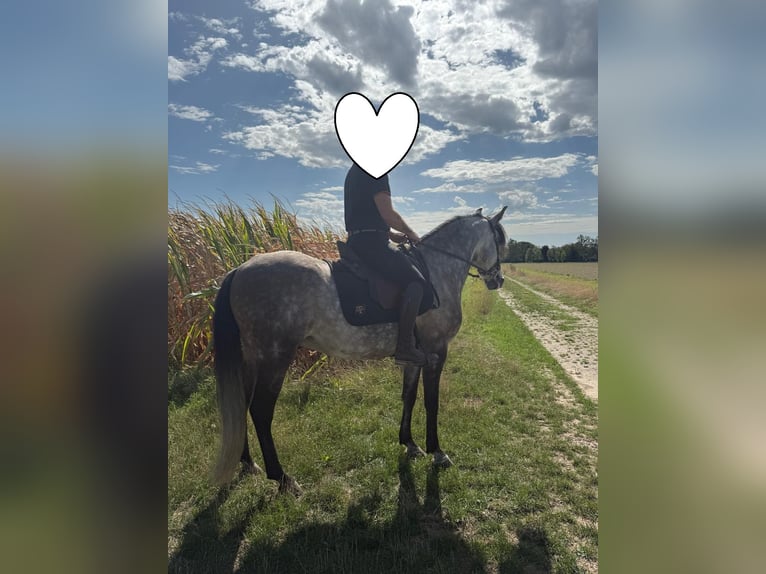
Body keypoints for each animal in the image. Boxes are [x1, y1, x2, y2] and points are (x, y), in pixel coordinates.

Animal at [212, 207, 508, 494]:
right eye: (500, 241)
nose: (498, 279)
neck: (436, 270)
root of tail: (239, 270)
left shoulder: (415, 358)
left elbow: (409, 396)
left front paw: (410, 444)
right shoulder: (436, 351)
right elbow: (431, 402)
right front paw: (437, 452)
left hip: (254, 356)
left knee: (242, 404)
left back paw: (248, 462)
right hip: (275, 356)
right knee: (261, 412)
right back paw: (283, 479)